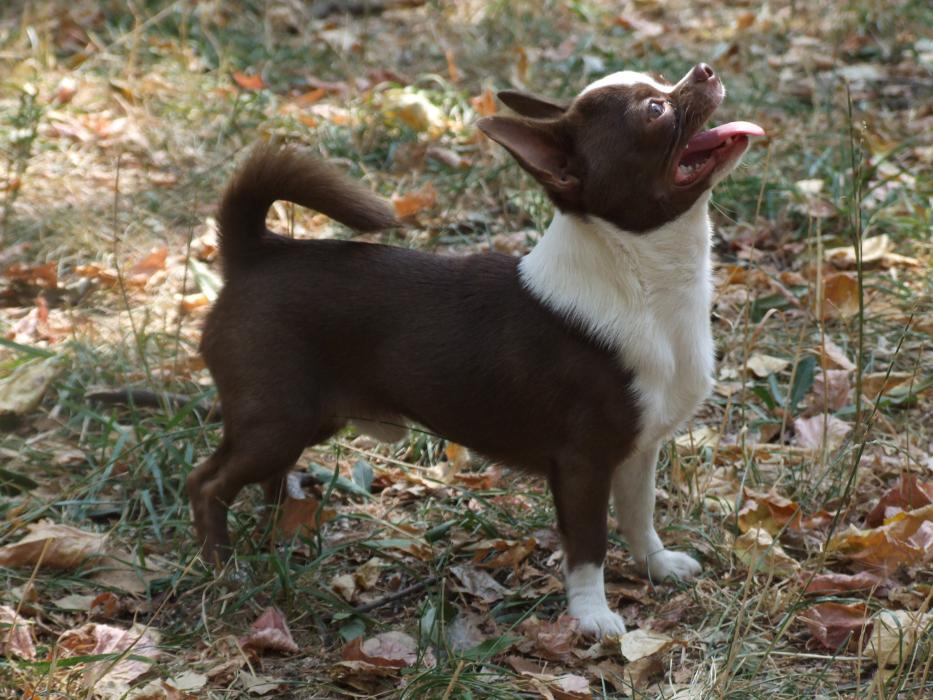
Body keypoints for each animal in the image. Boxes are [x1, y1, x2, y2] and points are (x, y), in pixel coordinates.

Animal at [188, 63, 764, 637]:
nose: (704, 70)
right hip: (277, 421)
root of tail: (257, 252)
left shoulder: (639, 451)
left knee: (265, 479)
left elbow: (640, 518)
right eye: (655, 110)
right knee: (207, 482)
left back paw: (280, 533)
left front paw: (657, 566)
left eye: (661, 80)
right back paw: (223, 568)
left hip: (306, 421)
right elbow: (588, 546)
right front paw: (592, 615)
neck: (645, 281)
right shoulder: (584, 465)